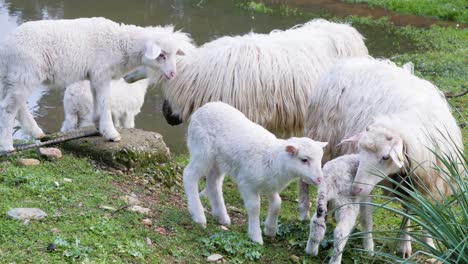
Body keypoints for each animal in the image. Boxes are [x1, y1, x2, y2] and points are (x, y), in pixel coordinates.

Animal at [0, 16, 194, 152]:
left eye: (174, 54)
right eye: (161, 55)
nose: (172, 74)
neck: (121, 44)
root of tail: (5, 46)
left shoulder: (94, 76)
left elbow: (97, 102)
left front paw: (99, 128)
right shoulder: (102, 74)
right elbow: (105, 102)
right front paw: (111, 134)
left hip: (13, 77)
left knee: (17, 106)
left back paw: (36, 132)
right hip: (25, 72)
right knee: (9, 108)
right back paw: (7, 146)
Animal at [183, 102, 326, 244]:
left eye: (320, 158)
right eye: (304, 160)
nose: (320, 179)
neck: (274, 159)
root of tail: (203, 108)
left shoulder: (270, 184)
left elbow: (277, 203)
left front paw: (270, 229)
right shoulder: (246, 183)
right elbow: (254, 207)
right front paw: (256, 236)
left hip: (219, 160)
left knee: (214, 182)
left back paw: (222, 217)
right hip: (202, 149)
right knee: (189, 174)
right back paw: (198, 216)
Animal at [304, 56, 464, 256]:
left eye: (386, 157)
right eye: (360, 151)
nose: (355, 188)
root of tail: (347, 61)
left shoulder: (429, 181)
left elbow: (423, 214)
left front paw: (428, 245)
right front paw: (398, 245)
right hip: (323, 139)